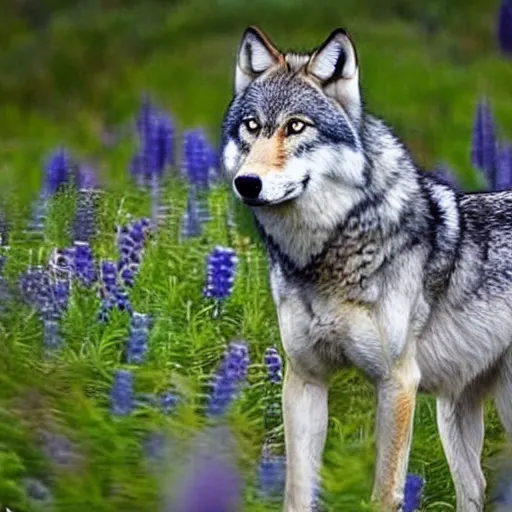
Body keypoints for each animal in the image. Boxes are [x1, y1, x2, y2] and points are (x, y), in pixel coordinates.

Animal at [219, 28, 512, 512]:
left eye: (296, 126)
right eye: (252, 126)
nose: (247, 183)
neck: (324, 257)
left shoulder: (397, 383)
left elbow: (383, 493)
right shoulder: (305, 379)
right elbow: (297, 492)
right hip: (453, 416)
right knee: (474, 489)